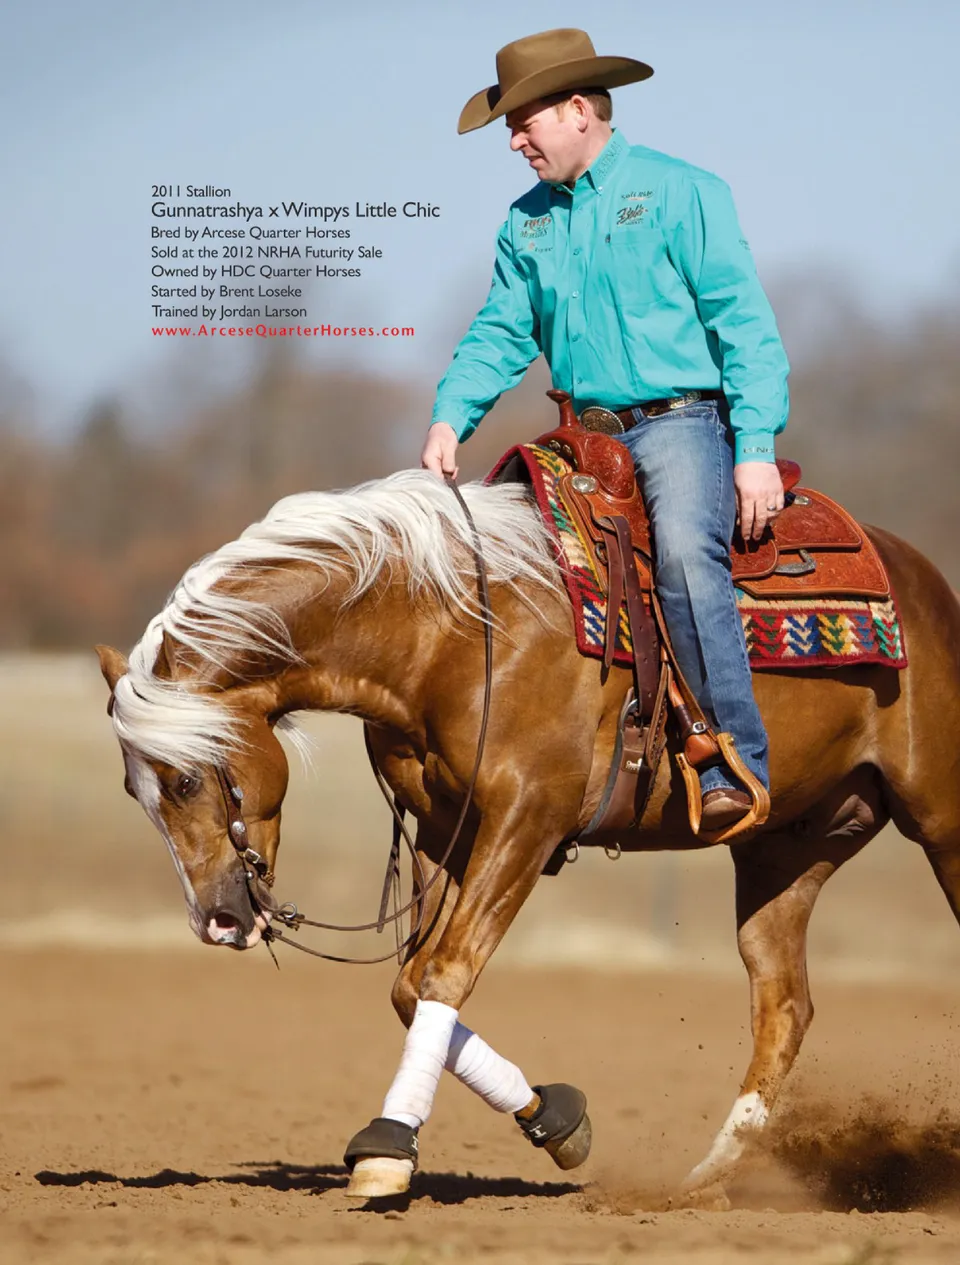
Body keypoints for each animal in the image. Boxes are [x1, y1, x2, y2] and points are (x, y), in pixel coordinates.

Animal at [96, 465, 960, 1203]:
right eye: (136, 790)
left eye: (184, 778)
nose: (218, 919)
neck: (448, 627)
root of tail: (926, 581)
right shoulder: (447, 826)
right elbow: (412, 984)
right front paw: (557, 1117)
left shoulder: (527, 816)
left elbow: (444, 973)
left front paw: (387, 1149)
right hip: (784, 849)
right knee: (783, 1004)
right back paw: (704, 1176)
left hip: (941, 823)